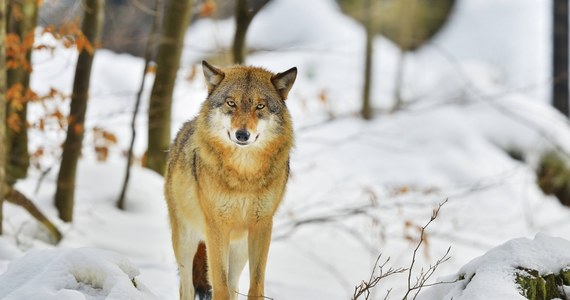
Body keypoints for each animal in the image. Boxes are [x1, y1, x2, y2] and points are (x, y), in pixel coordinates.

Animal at [164, 61, 298, 300]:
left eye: (260, 106)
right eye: (231, 103)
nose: (242, 135)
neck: (244, 175)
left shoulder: (262, 226)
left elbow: (255, 286)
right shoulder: (217, 227)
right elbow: (220, 287)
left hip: (239, 248)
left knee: (234, 284)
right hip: (186, 242)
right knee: (186, 287)